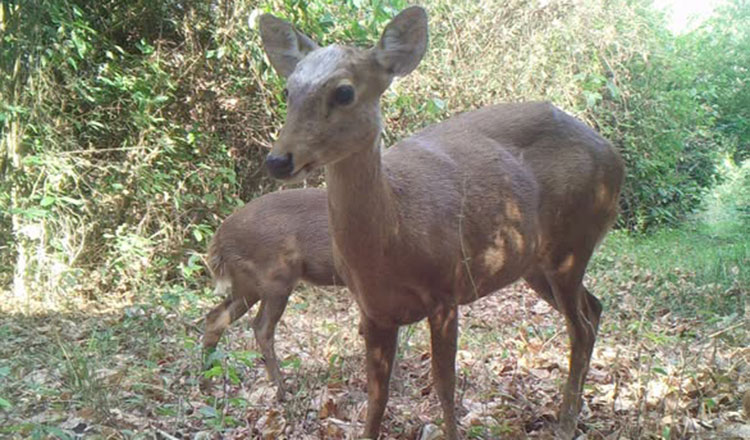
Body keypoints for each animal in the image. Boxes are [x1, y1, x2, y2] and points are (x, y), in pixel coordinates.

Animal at [200, 187, 340, 400]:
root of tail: (218, 239)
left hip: (248, 284)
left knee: (216, 317)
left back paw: (206, 384)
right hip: (276, 278)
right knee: (261, 326)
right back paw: (281, 390)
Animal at [262, 5, 624, 438]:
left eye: (344, 91)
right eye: (288, 91)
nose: (278, 160)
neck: (394, 237)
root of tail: (614, 156)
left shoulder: (447, 290)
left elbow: (444, 385)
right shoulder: (373, 309)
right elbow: (376, 396)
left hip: (573, 243)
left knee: (580, 326)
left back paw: (567, 422)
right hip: (534, 263)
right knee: (595, 308)